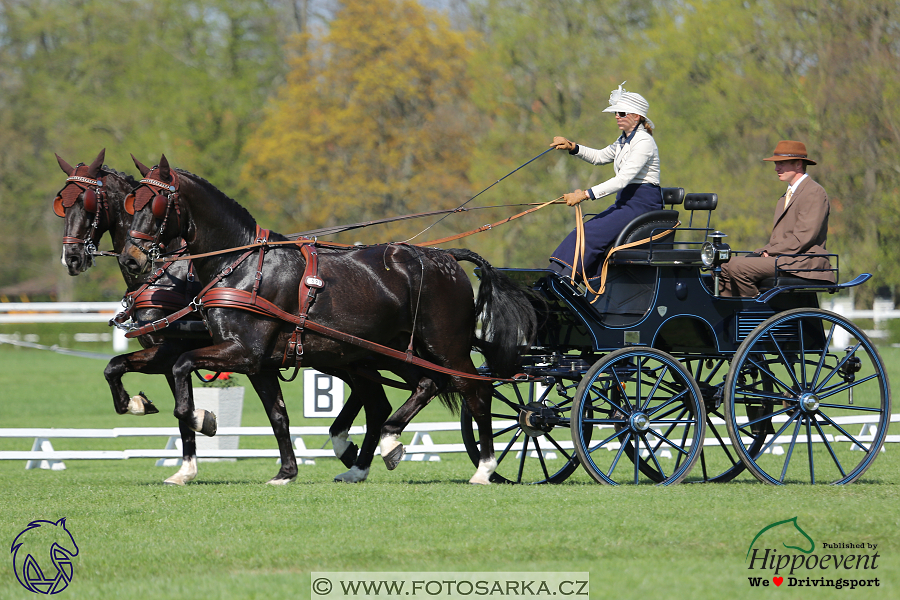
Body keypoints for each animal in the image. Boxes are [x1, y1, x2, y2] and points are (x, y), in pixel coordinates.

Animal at [53, 149, 213, 482]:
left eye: (88, 202)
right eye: (62, 203)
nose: (70, 258)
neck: (160, 274)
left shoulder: (171, 352)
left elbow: (183, 409)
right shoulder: (165, 358)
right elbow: (114, 368)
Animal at [118, 155, 536, 482]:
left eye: (156, 204)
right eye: (131, 203)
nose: (130, 259)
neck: (243, 265)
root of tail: (446, 257)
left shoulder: (243, 352)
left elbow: (182, 370)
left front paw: (202, 419)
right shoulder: (259, 363)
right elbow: (277, 414)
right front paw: (286, 472)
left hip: (444, 346)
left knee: (475, 391)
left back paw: (484, 467)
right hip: (393, 350)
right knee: (420, 387)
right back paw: (383, 447)